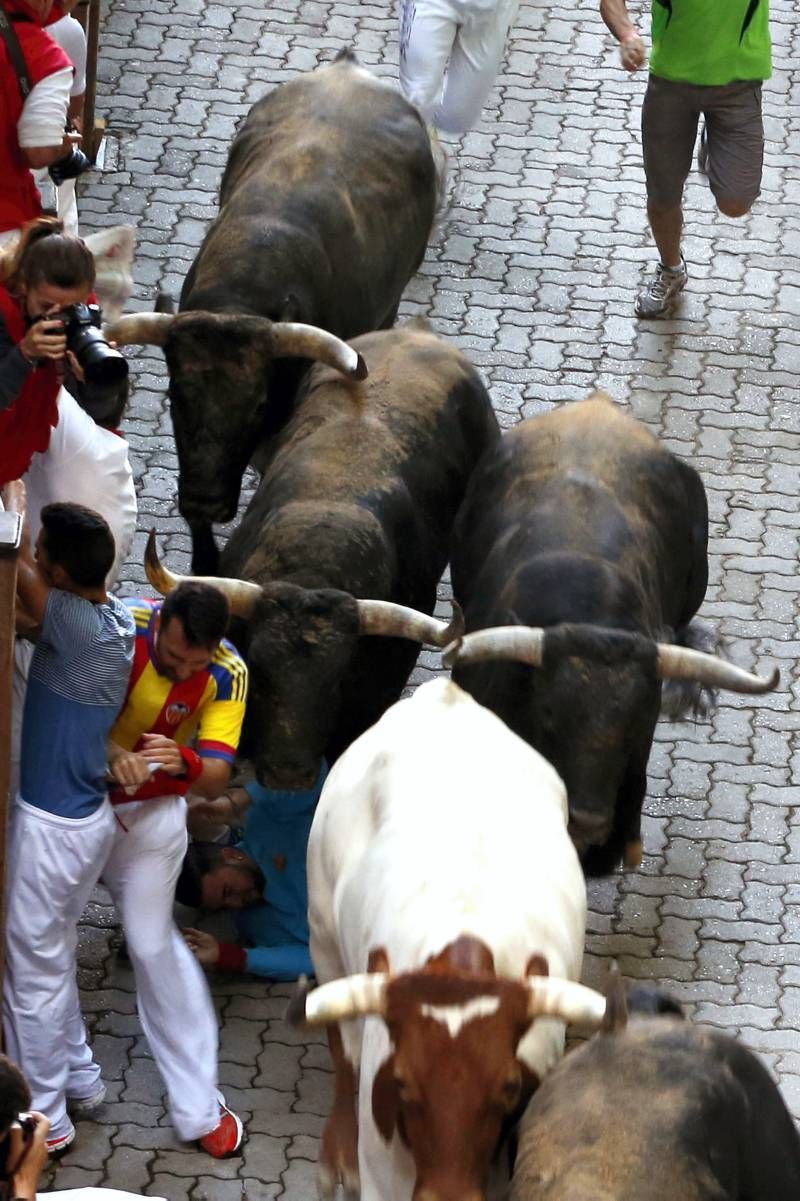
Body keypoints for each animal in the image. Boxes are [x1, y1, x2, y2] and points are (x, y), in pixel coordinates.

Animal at [287, 682, 605, 1201]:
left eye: (509, 1086)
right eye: (401, 1082)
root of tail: (444, 693)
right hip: (323, 937)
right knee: (343, 1046)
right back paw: (337, 1157)